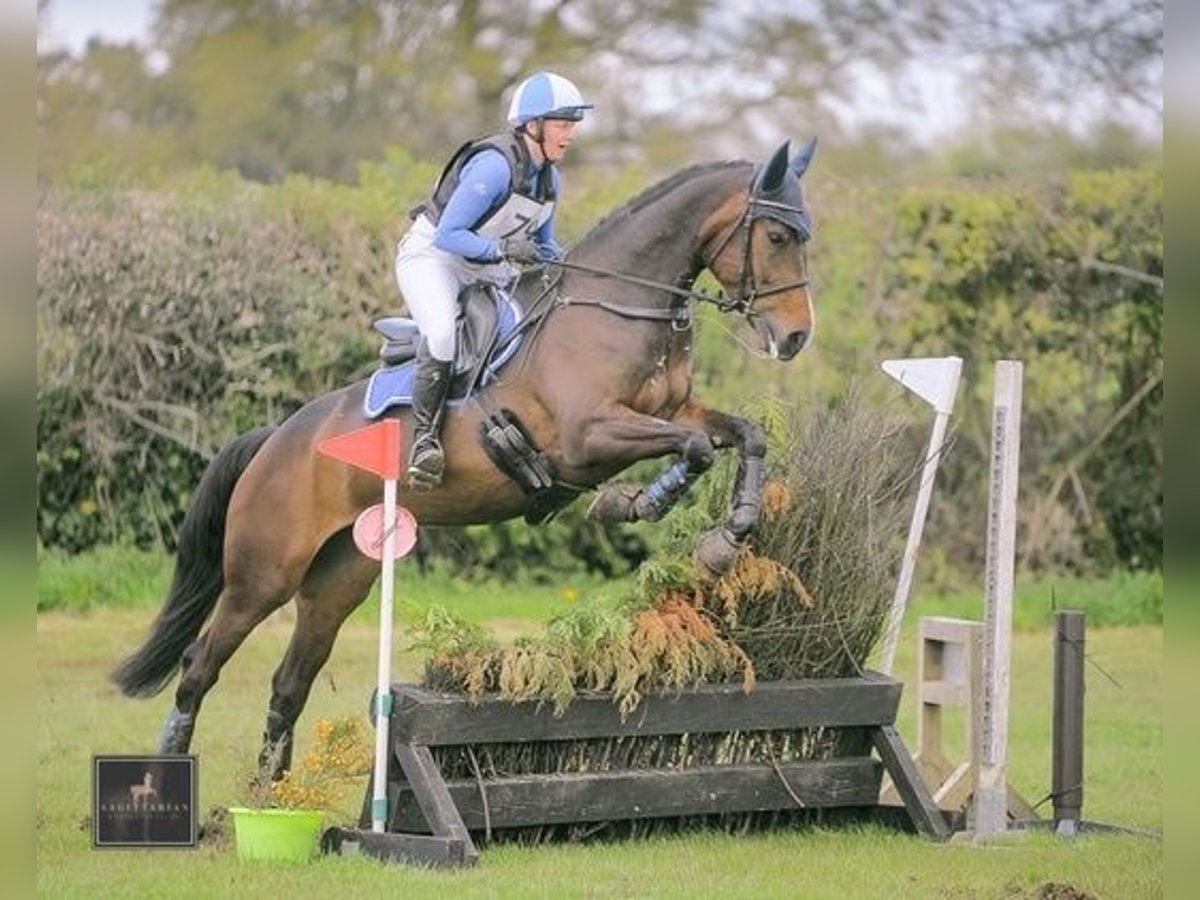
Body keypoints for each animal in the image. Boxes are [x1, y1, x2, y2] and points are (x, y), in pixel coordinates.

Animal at [114, 135, 816, 777]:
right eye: (779, 235)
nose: (796, 336)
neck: (617, 310)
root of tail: (276, 438)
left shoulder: (673, 412)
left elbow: (742, 436)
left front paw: (727, 536)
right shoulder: (586, 438)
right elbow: (693, 448)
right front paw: (635, 502)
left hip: (339, 577)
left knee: (290, 679)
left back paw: (271, 794)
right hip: (264, 573)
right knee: (200, 663)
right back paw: (173, 768)